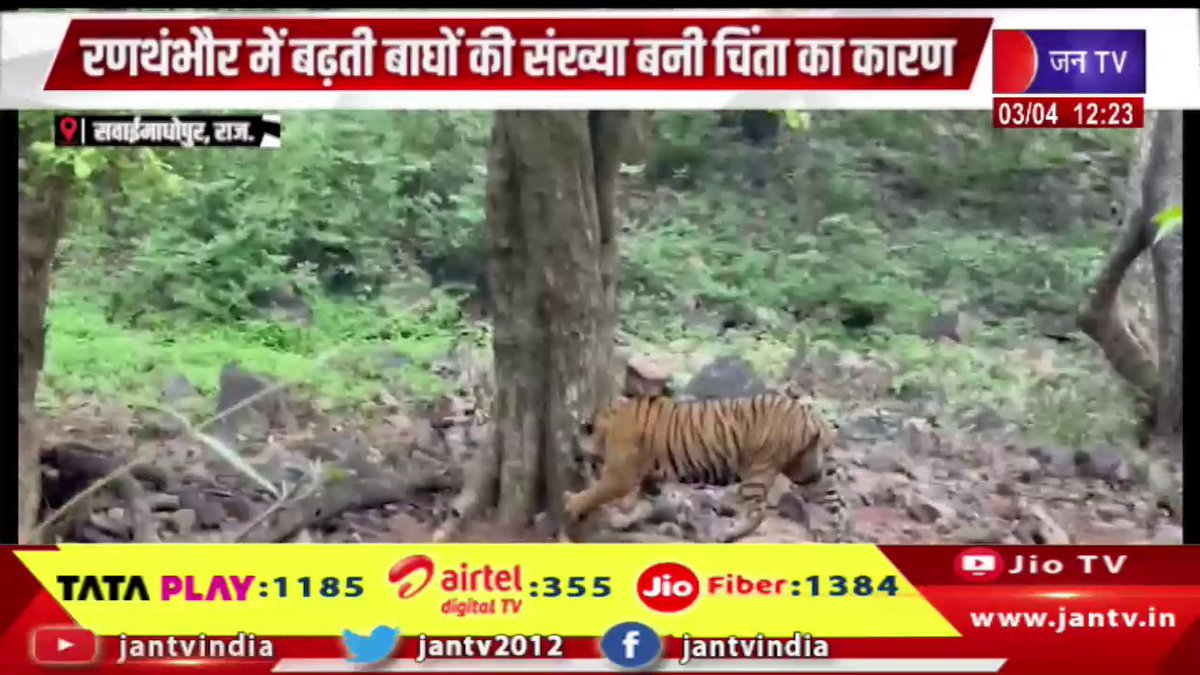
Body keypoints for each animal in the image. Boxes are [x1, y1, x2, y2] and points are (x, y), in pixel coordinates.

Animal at [563, 393, 852, 543]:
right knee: (837, 504)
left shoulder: (621, 474)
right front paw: (623, 520)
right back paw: (835, 536)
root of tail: (812, 417)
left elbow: (598, 492)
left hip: (758, 469)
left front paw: (572, 503)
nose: (575, 457)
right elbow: (641, 503)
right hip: (810, 472)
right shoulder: (650, 479)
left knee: (757, 513)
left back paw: (729, 534)